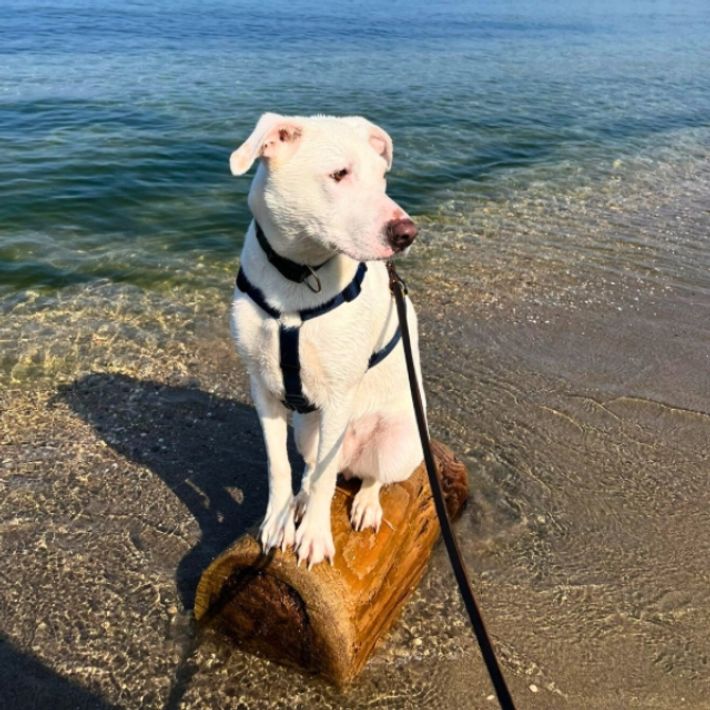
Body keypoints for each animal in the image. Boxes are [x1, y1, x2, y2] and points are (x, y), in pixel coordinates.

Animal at [229, 113, 425, 568]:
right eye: (339, 174)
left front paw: (315, 537)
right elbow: (279, 466)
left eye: (382, 177)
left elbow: (324, 482)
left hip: (398, 443)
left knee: (368, 476)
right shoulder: (262, 389)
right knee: (315, 466)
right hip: (308, 428)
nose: (408, 233)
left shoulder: (339, 396)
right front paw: (277, 521)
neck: (296, 277)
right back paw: (300, 501)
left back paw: (366, 503)